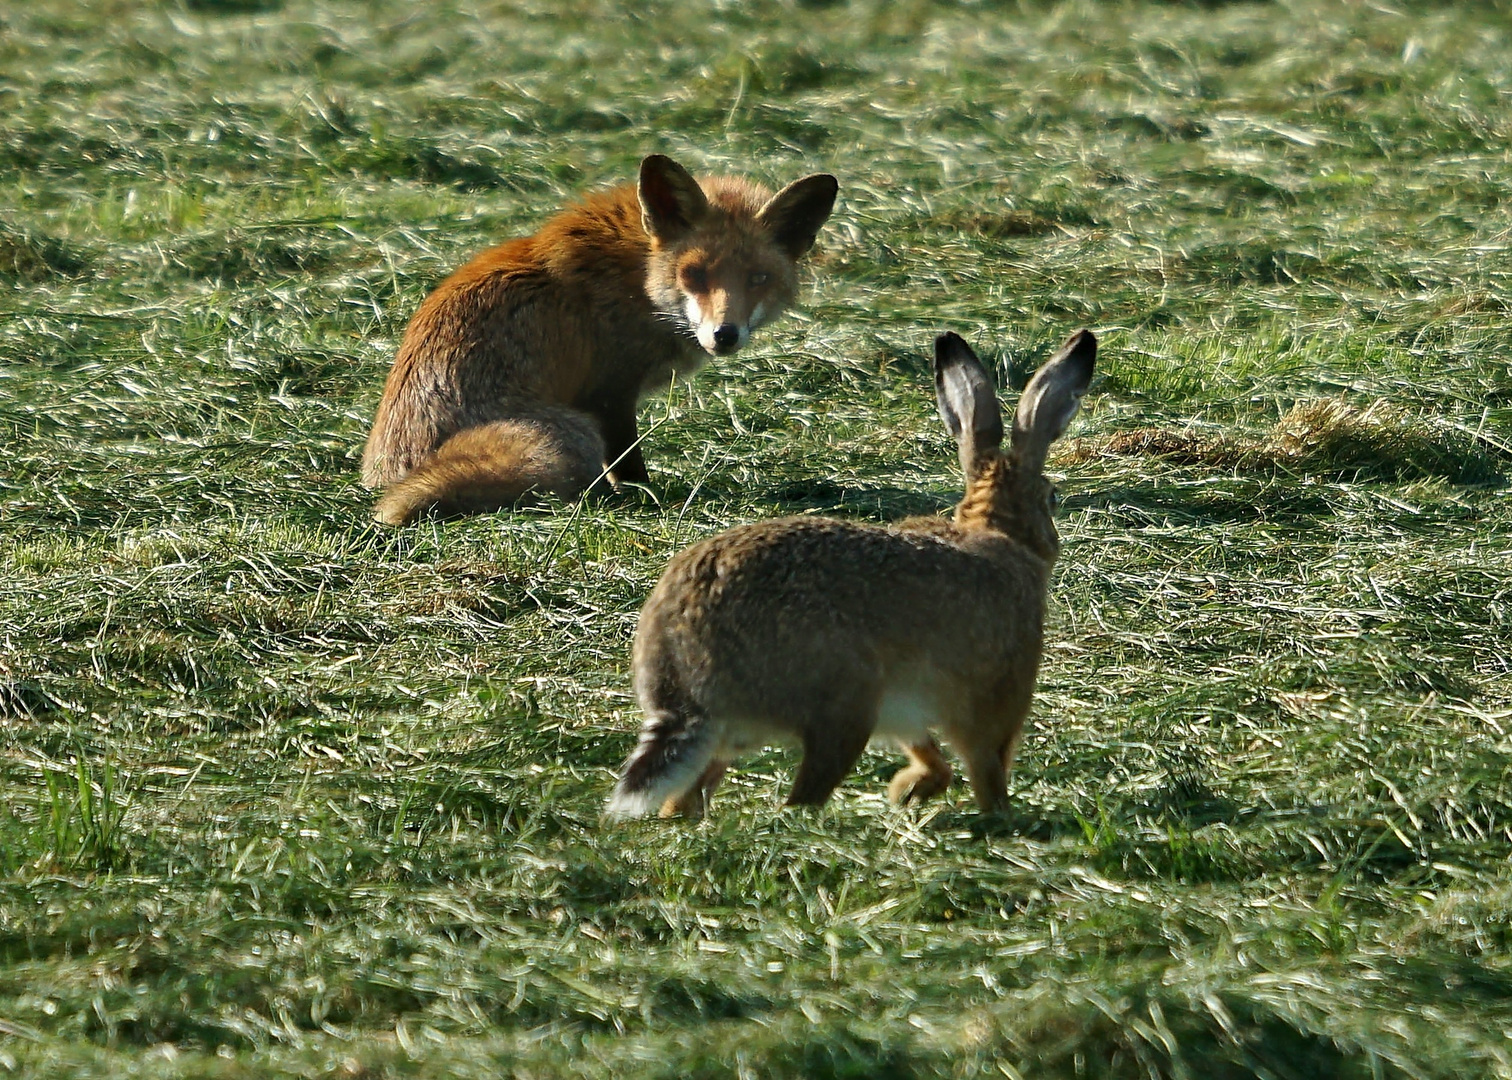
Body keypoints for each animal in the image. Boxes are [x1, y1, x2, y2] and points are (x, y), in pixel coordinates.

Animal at [364, 153, 840, 523]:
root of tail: (384, 475)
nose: (724, 334)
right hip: (571, 437)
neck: (640, 278)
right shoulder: (608, 393)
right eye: (694, 274)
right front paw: (646, 500)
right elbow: (629, 464)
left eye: (758, 278)